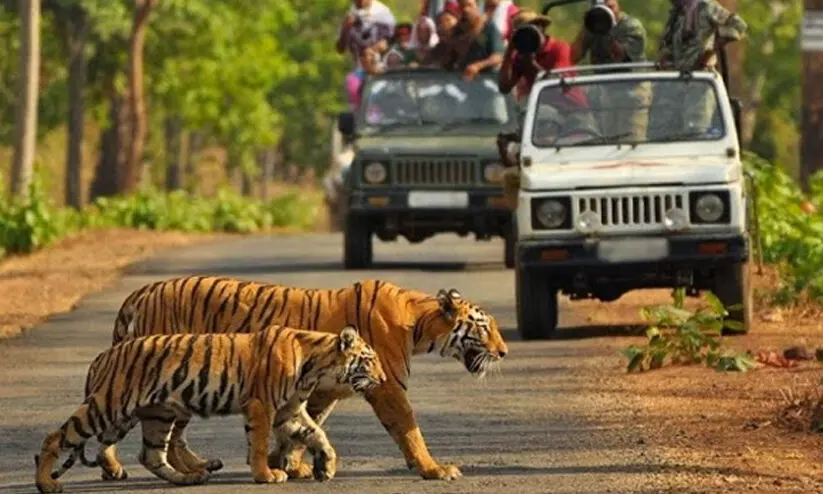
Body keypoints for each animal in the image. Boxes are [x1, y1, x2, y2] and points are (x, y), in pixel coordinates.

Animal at [33, 324, 388, 494]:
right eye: (369, 360)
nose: (384, 379)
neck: (316, 366)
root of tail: (103, 355)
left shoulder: (289, 410)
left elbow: (316, 433)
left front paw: (327, 466)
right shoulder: (262, 406)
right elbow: (260, 444)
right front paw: (266, 476)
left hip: (155, 414)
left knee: (151, 455)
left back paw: (190, 478)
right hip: (107, 406)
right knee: (54, 437)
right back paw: (46, 484)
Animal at [106, 278, 508, 482]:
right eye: (484, 327)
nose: (504, 352)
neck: (419, 323)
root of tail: (140, 292)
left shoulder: (321, 391)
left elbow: (305, 426)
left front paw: (287, 462)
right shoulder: (387, 387)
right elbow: (409, 430)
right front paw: (433, 469)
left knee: (172, 436)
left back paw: (196, 468)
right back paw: (120, 468)